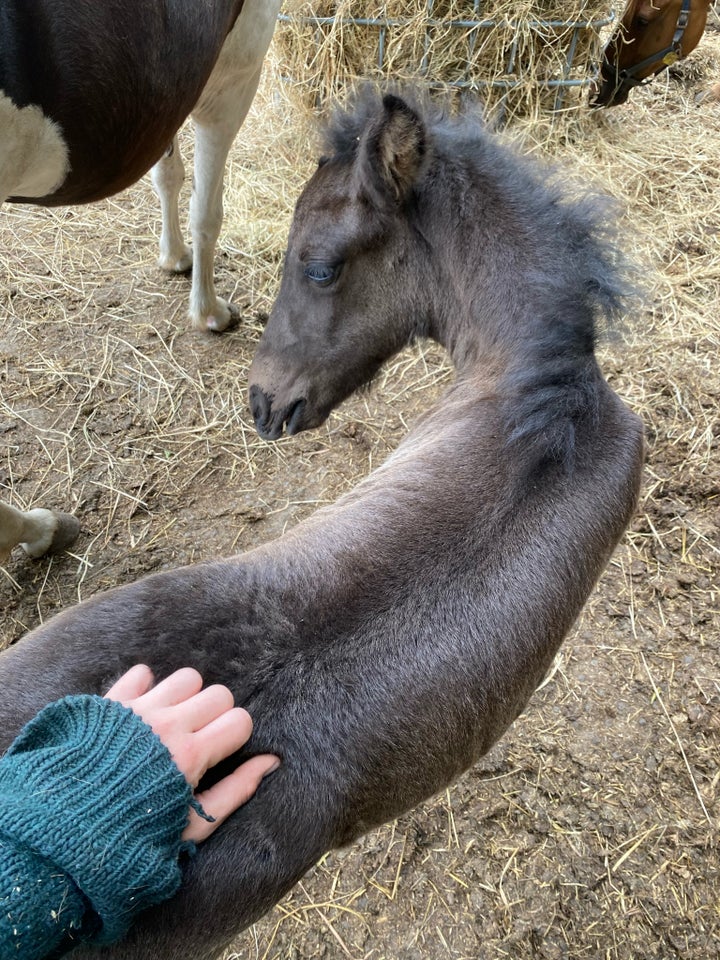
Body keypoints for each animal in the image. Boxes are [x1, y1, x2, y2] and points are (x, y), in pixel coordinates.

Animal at [0, 0, 280, 568]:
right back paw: (40, 528)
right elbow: (206, 210)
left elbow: (166, 174)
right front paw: (209, 312)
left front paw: (174, 259)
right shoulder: (234, 72)